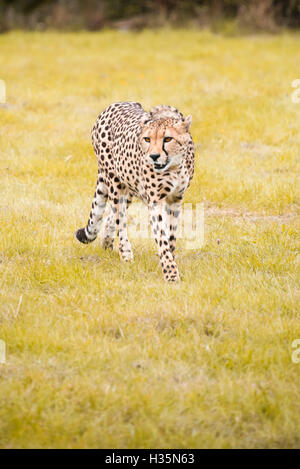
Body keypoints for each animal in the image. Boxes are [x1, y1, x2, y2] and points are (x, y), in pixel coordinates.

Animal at [75, 102, 195, 282]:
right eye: (147, 139)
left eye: (168, 139)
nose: (153, 156)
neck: (174, 166)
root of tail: (116, 104)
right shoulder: (155, 201)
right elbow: (162, 237)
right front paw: (170, 273)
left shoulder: (175, 199)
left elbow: (171, 236)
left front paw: (170, 260)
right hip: (116, 182)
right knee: (119, 218)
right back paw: (125, 253)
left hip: (129, 187)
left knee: (111, 215)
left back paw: (107, 242)